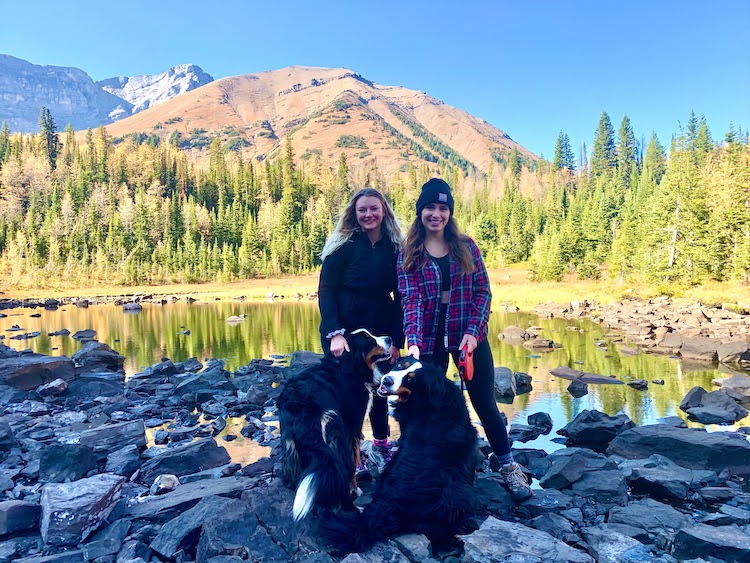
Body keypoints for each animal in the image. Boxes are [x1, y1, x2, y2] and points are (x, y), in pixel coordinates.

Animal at [276, 330, 394, 520]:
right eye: (368, 339)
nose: (389, 338)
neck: (350, 366)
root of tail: (302, 406)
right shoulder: (352, 424)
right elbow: (354, 459)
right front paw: (356, 489)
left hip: (291, 446)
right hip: (335, 435)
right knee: (342, 469)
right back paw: (353, 507)